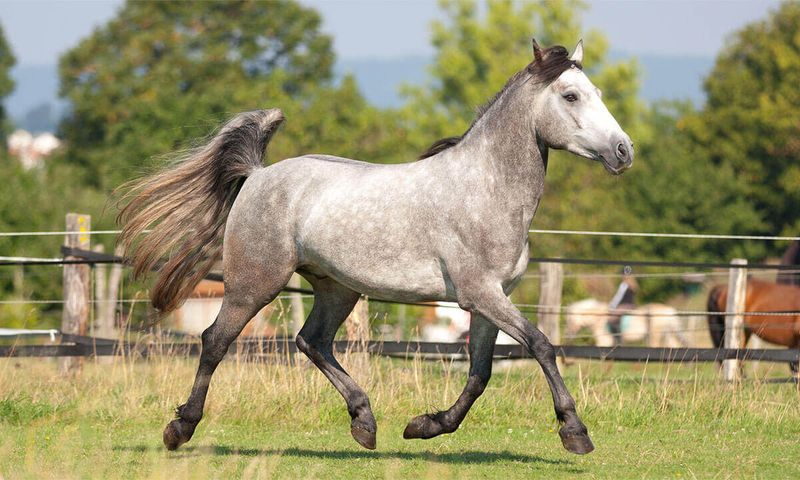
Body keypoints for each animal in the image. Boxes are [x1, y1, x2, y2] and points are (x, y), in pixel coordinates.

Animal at [119, 39, 632, 456]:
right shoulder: (480, 293)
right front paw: (575, 432)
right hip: (254, 284)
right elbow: (542, 345)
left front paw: (424, 425)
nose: (623, 151)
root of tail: (258, 174)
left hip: (337, 288)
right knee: (216, 341)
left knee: (312, 341)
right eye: (571, 96)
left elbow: (481, 372)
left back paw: (364, 423)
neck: (484, 189)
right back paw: (180, 429)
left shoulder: (490, 299)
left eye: (598, 93)